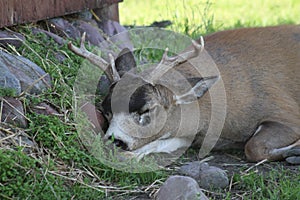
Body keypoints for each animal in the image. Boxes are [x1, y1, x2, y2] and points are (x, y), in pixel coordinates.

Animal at [69, 24, 300, 164]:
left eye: (147, 108)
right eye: (105, 111)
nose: (115, 140)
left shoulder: (285, 112)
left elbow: (253, 147)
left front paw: (295, 150)